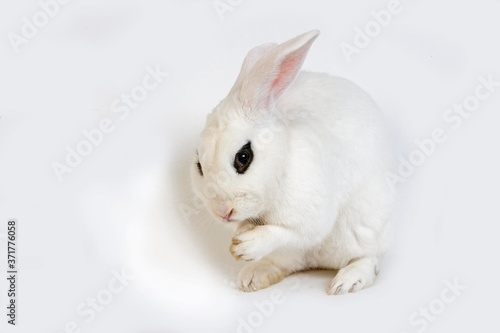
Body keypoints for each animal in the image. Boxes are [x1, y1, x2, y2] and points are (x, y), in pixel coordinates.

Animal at [191, 30, 394, 294]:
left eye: (243, 157)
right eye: (199, 165)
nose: (223, 212)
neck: (284, 165)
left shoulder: (312, 216)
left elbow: (287, 232)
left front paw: (247, 245)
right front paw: (241, 239)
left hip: (362, 228)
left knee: (367, 258)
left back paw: (345, 282)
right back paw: (253, 276)